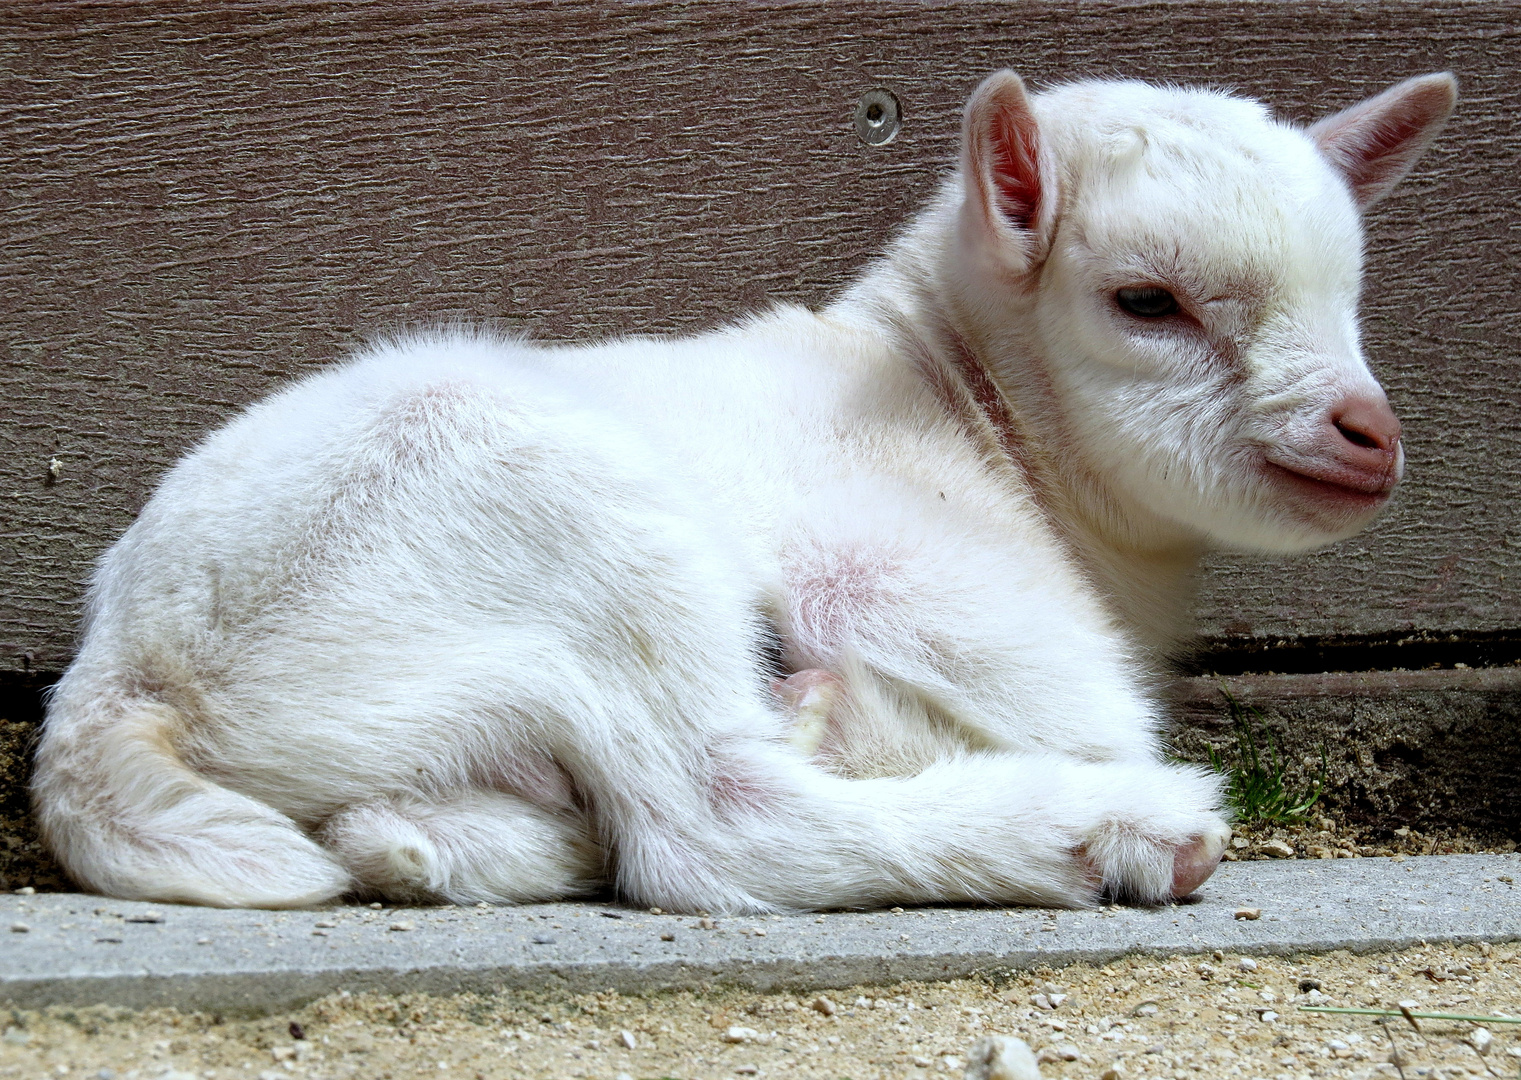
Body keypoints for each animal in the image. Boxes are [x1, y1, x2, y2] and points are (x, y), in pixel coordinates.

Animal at [35, 67, 1454, 912]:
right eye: (1145, 302)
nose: (1366, 436)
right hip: (564, 517)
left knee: (422, 830)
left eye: (1351, 290)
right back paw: (1119, 828)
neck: (949, 398)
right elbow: (1073, 711)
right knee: (711, 831)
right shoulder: (925, 582)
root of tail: (121, 679)